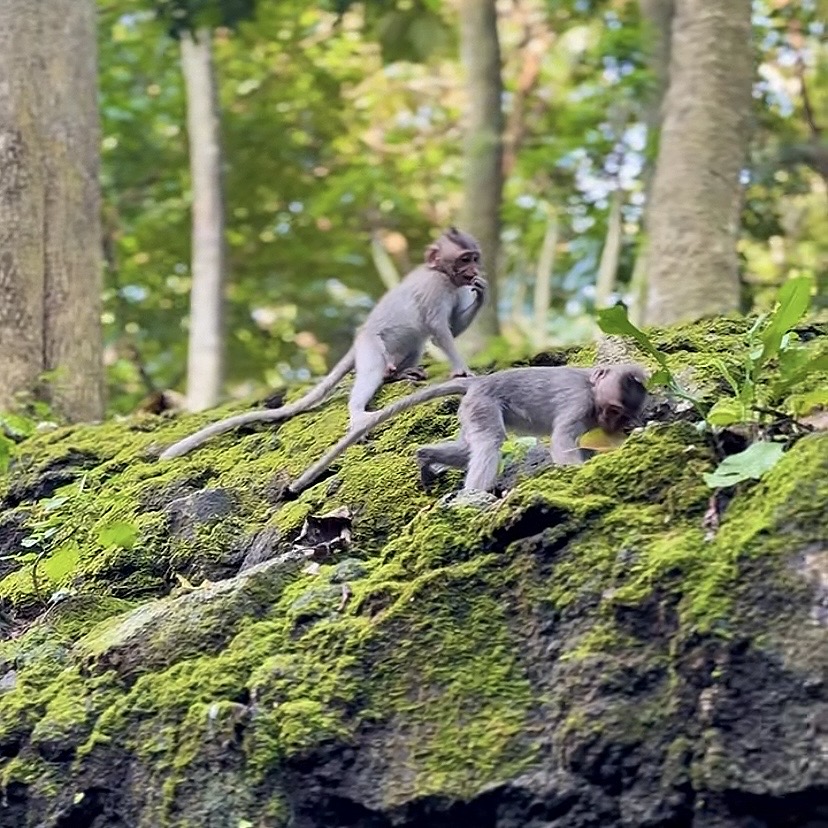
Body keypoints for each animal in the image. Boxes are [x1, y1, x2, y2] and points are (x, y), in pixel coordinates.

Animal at [158, 228, 487, 461]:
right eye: (464, 259)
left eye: (474, 258)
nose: (474, 271)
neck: (441, 273)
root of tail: (358, 341)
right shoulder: (435, 288)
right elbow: (440, 331)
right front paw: (462, 370)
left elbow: (453, 327)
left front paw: (482, 293)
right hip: (370, 347)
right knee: (373, 371)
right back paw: (360, 409)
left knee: (412, 346)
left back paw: (399, 374)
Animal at [287, 363, 648, 496]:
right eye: (612, 409)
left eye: (620, 414)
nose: (613, 422)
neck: (592, 389)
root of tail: (478, 383)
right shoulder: (579, 404)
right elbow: (562, 439)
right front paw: (576, 475)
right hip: (483, 405)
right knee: (490, 442)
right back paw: (474, 496)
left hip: (471, 411)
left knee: (467, 448)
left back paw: (424, 457)